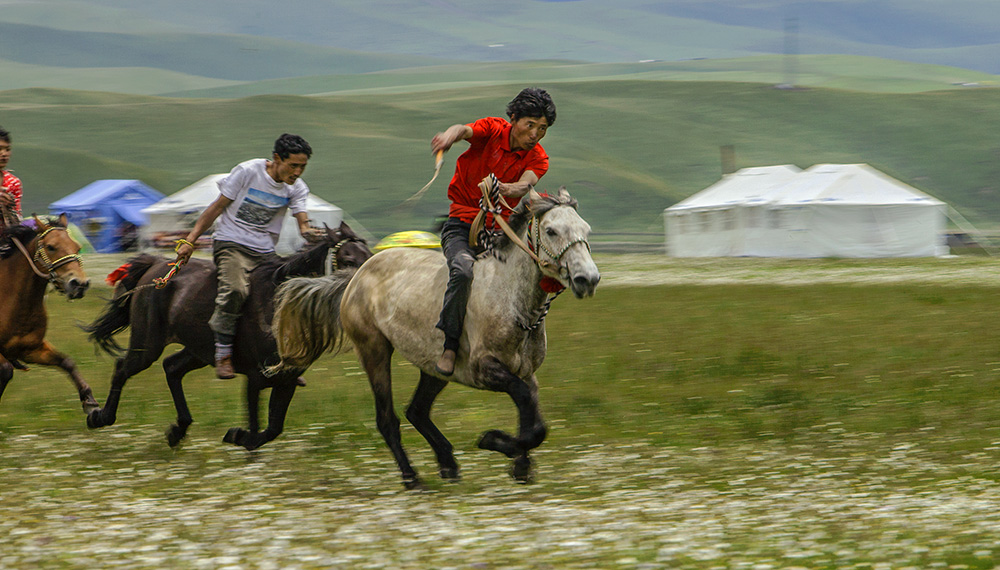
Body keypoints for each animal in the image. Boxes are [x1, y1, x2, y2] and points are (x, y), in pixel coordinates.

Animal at [0, 214, 99, 412]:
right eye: (51, 246)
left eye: (77, 247)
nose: (79, 284)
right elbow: (6, 370)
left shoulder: (30, 350)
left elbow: (67, 361)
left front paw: (90, 402)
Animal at [82, 221, 371, 449]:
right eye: (347, 260)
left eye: (369, 255)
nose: (364, 293)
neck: (278, 307)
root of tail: (156, 265)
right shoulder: (256, 378)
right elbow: (255, 430)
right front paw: (237, 436)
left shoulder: (287, 380)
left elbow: (272, 429)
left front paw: (236, 435)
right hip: (147, 344)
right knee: (123, 368)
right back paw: (100, 416)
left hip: (198, 350)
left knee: (172, 367)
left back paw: (178, 429)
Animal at [272, 188, 600, 489]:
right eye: (551, 230)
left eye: (586, 229)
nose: (588, 279)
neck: (509, 298)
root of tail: (357, 275)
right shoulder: (486, 370)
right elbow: (528, 414)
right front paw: (493, 441)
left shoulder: (526, 373)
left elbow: (533, 418)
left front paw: (520, 466)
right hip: (374, 350)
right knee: (387, 418)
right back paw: (412, 477)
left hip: (435, 367)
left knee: (416, 410)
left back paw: (447, 463)